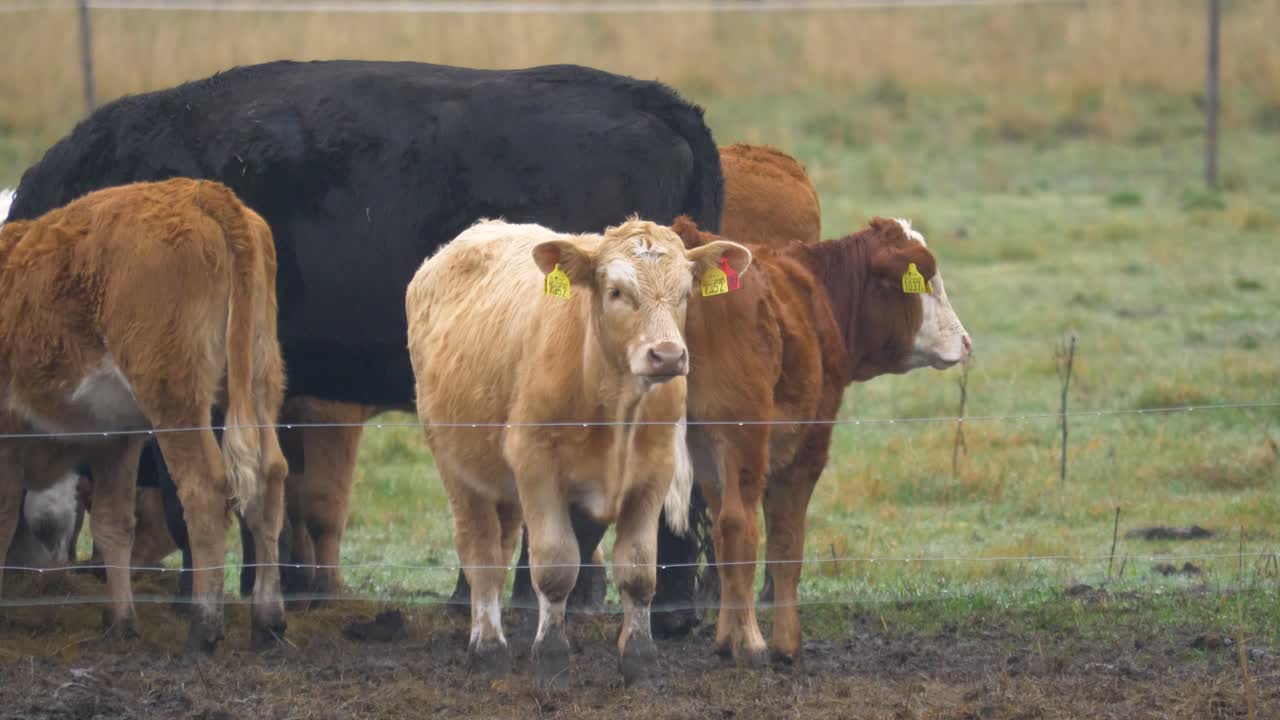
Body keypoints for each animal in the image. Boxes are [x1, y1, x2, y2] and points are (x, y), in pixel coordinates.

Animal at [0, 178, 289, 651]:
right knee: (269, 479)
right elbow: (112, 522)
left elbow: (5, 518)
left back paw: (204, 627)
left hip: (176, 400)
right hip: (262, 382)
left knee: (204, 489)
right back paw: (268, 621)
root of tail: (204, 192)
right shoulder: (114, 438)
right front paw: (120, 621)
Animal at [406, 218, 750, 687]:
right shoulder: (536, 467)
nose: (667, 355)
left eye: (685, 292)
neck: (614, 401)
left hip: (501, 481)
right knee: (480, 552)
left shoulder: (654, 472)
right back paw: (489, 647)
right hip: (457, 468)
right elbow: (555, 567)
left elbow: (639, 571)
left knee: (499, 548)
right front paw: (551, 658)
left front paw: (640, 660)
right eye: (617, 292)